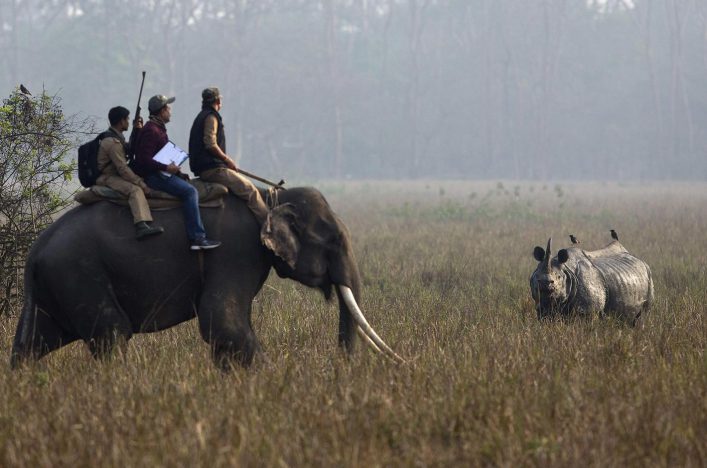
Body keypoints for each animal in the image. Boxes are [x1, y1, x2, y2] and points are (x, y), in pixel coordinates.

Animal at [9, 185, 404, 368]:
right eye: (333, 239)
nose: (340, 369)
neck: (268, 197)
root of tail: (34, 254)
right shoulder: (234, 250)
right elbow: (222, 321)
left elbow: (227, 328)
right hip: (80, 276)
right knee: (112, 334)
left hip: (54, 288)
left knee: (31, 344)